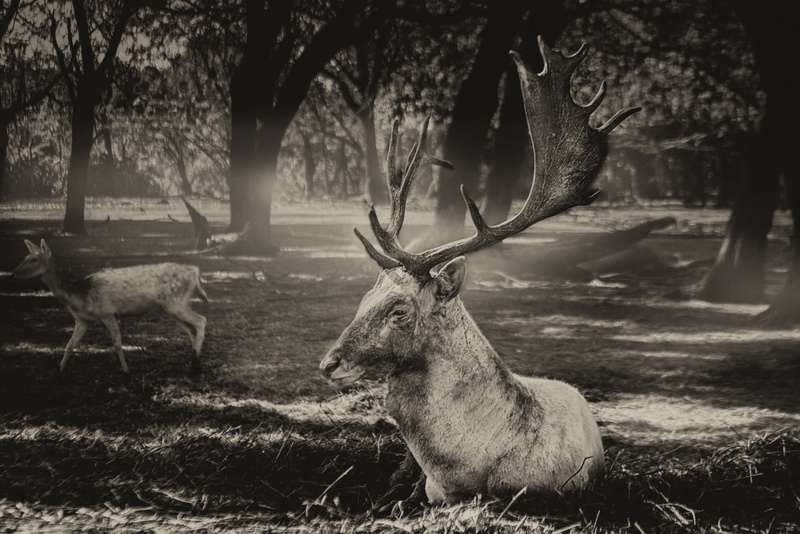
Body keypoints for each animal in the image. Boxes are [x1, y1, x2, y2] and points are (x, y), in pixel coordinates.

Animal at [12, 240, 209, 376]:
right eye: (25, 257)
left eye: (34, 259)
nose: (14, 273)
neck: (79, 296)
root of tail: (195, 272)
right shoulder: (83, 320)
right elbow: (70, 344)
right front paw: (60, 369)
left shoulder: (107, 312)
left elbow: (117, 342)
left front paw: (126, 370)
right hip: (170, 307)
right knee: (191, 330)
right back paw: (196, 364)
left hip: (176, 302)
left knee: (201, 321)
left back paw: (195, 367)